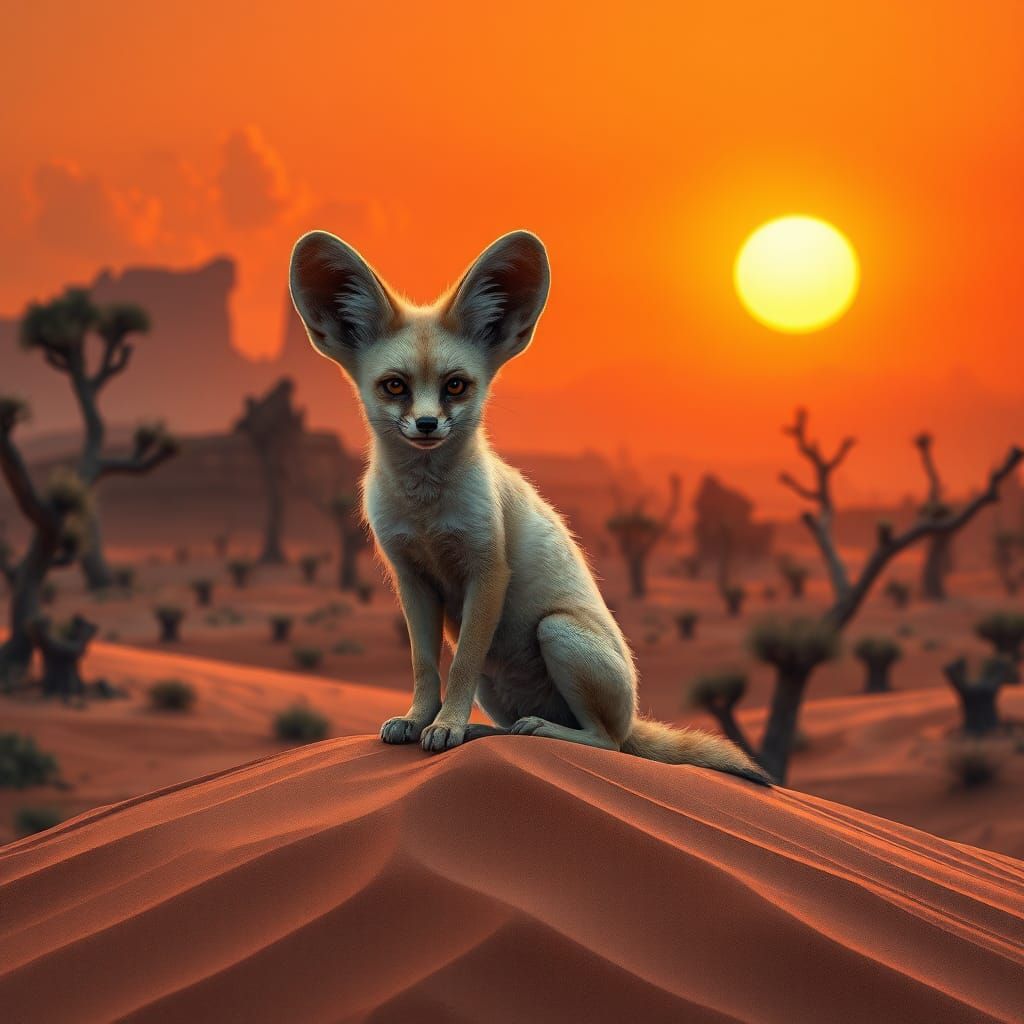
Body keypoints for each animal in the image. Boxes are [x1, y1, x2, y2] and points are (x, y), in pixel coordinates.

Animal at [289, 229, 772, 786]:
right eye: (394, 386)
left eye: (456, 385)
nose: (428, 425)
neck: (427, 511)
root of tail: (631, 715)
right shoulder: (410, 576)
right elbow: (425, 666)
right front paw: (419, 719)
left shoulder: (487, 569)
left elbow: (459, 663)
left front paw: (445, 726)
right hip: (497, 685)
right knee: (522, 727)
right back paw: (486, 732)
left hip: (557, 632)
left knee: (607, 743)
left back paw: (539, 729)